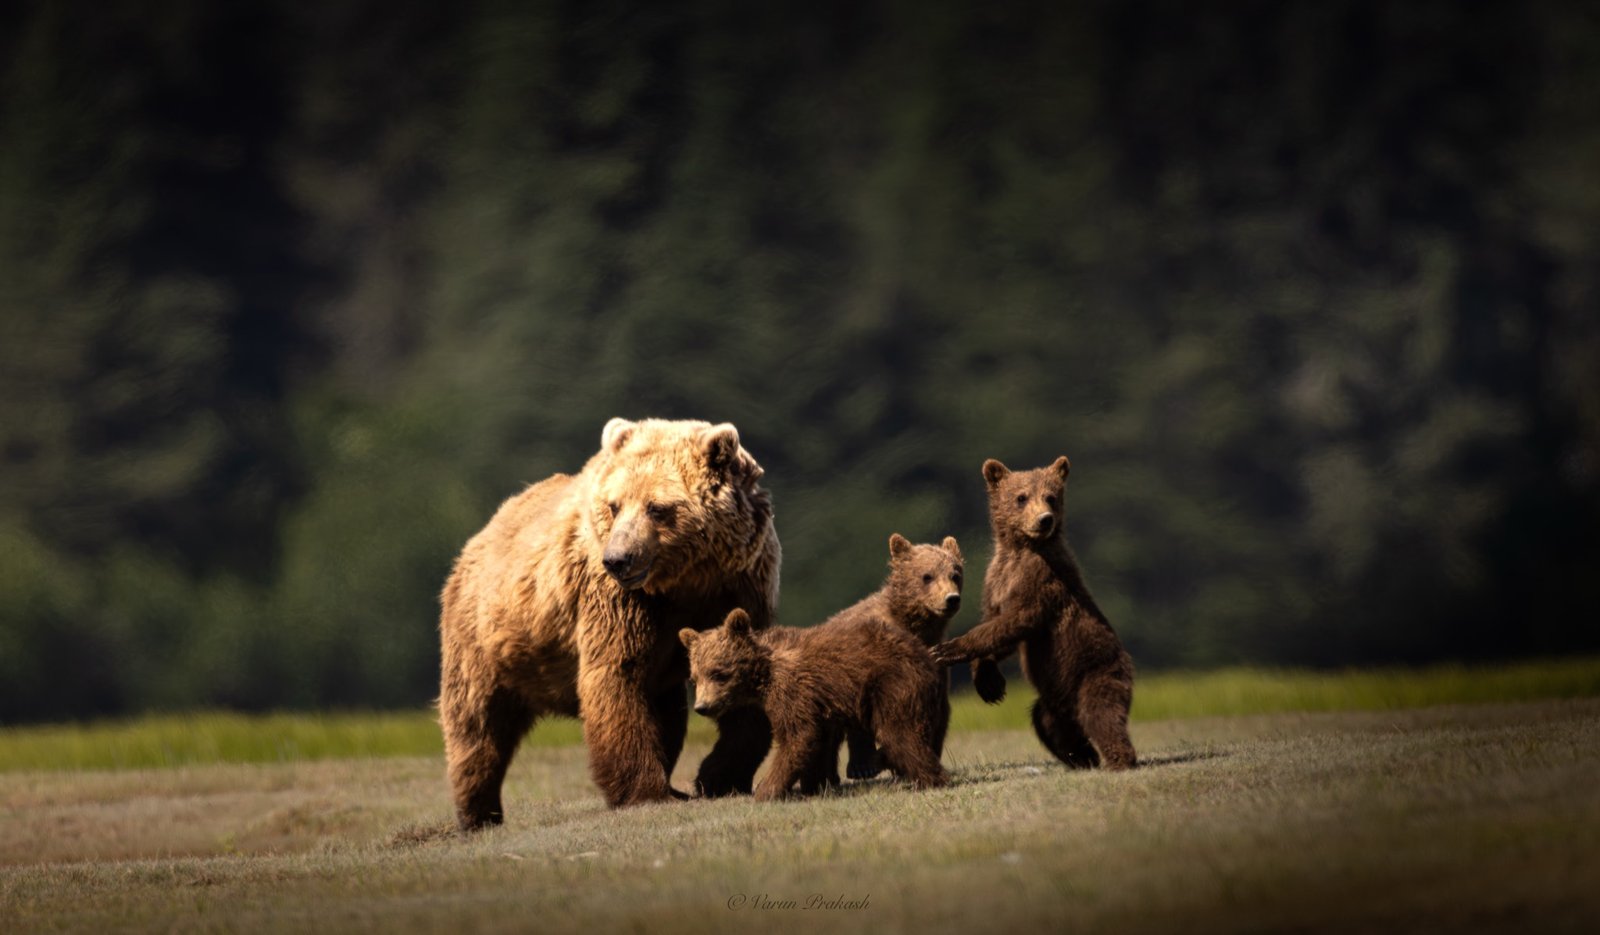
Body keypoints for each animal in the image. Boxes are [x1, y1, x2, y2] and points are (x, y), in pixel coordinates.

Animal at [437, 418, 781, 830]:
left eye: (657, 508)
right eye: (615, 505)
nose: (617, 559)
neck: (686, 581)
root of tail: (476, 539)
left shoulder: (739, 586)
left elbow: (742, 679)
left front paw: (717, 776)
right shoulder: (619, 603)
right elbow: (616, 678)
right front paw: (644, 793)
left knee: (666, 713)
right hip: (485, 639)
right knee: (477, 723)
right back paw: (479, 812)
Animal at [680, 608, 948, 799]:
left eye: (718, 673)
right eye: (694, 678)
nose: (702, 707)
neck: (763, 675)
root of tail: (925, 654)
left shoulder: (792, 690)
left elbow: (798, 736)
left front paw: (767, 790)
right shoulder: (817, 704)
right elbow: (818, 741)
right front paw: (814, 784)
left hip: (892, 683)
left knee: (898, 732)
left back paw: (930, 778)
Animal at [931, 456, 1137, 770]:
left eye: (1051, 496)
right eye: (1021, 497)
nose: (1044, 519)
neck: (1020, 549)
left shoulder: (1041, 579)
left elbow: (1016, 620)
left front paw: (947, 649)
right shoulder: (996, 580)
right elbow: (998, 625)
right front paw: (989, 683)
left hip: (1097, 671)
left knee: (1101, 714)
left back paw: (1119, 759)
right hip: (1053, 699)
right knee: (1048, 725)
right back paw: (1082, 757)